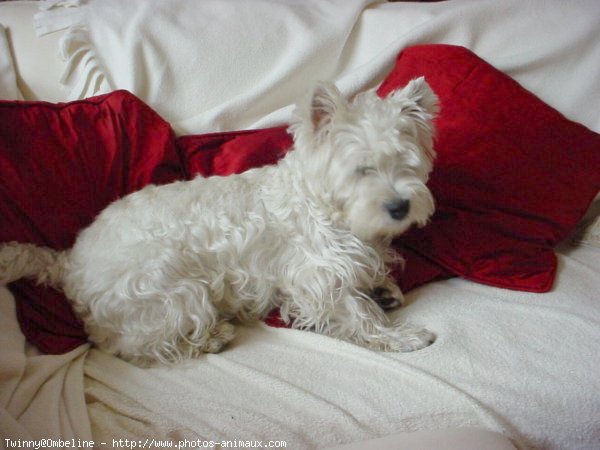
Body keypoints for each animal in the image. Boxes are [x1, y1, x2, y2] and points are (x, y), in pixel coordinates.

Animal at [1, 78, 440, 366]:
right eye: (361, 169)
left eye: (407, 162)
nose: (400, 207)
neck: (325, 205)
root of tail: (70, 262)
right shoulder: (316, 278)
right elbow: (357, 315)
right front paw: (401, 336)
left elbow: (373, 280)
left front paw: (385, 290)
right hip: (174, 290)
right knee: (134, 345)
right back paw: (213, 338)